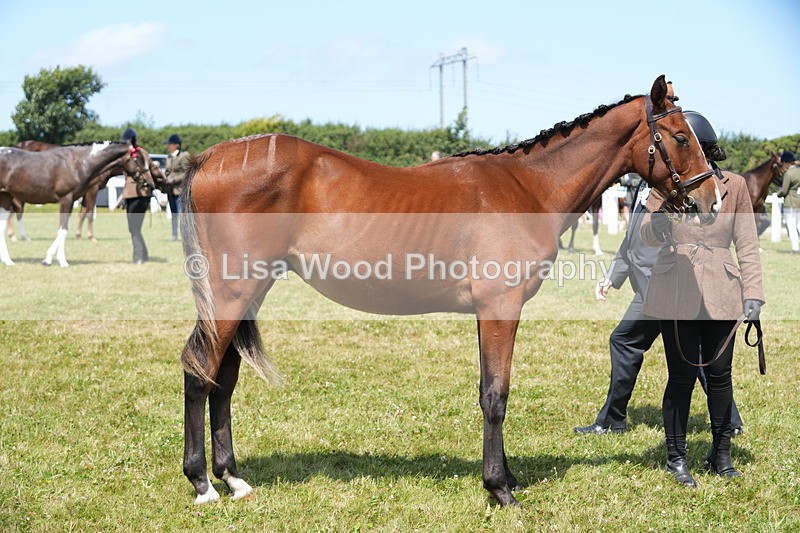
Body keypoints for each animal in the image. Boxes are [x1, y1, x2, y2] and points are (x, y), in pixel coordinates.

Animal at [0, 142, 155, 266]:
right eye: (139, 159)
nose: (151, 184)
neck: (78, 163)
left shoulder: (72, 200)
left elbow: (66, 227)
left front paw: (48, 259)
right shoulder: (66, 198)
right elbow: (63, 229)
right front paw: (62, 261)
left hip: (6, 198)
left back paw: (8, 261)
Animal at [178, 76, 719, 507]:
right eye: (678, 137)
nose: (711, 201)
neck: (528, 187)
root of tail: (210, 157)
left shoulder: (488, 311)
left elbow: (487, 390)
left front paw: (507, 479)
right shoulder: (501, 307)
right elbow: (497, 394)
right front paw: (499, 489)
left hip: (247, 294)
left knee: (223, 377)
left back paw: (233, 479)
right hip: (233, 293)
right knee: (200, 369)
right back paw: (203, 484)